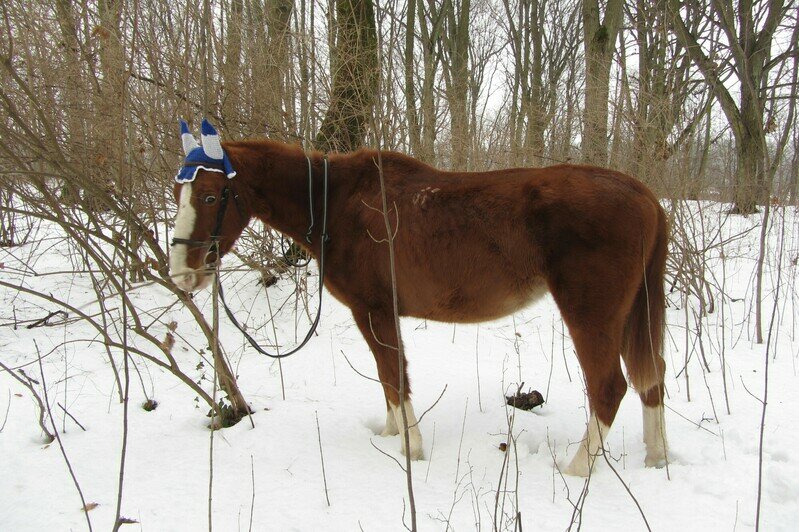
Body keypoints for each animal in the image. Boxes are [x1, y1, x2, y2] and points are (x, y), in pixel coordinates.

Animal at [169, 121, 668, 478]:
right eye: (178, 192)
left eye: (210, 195)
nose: (181, 274)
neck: (336, 204)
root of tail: (645, 194)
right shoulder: (373, 313)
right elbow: (387, 378)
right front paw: (391, 435)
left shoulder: (373, 310)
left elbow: (394, 376)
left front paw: (411, 449)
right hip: (631, 315)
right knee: (652, 379)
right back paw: (656, 461)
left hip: (591, 316)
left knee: (609, 388)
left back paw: (576, 471)